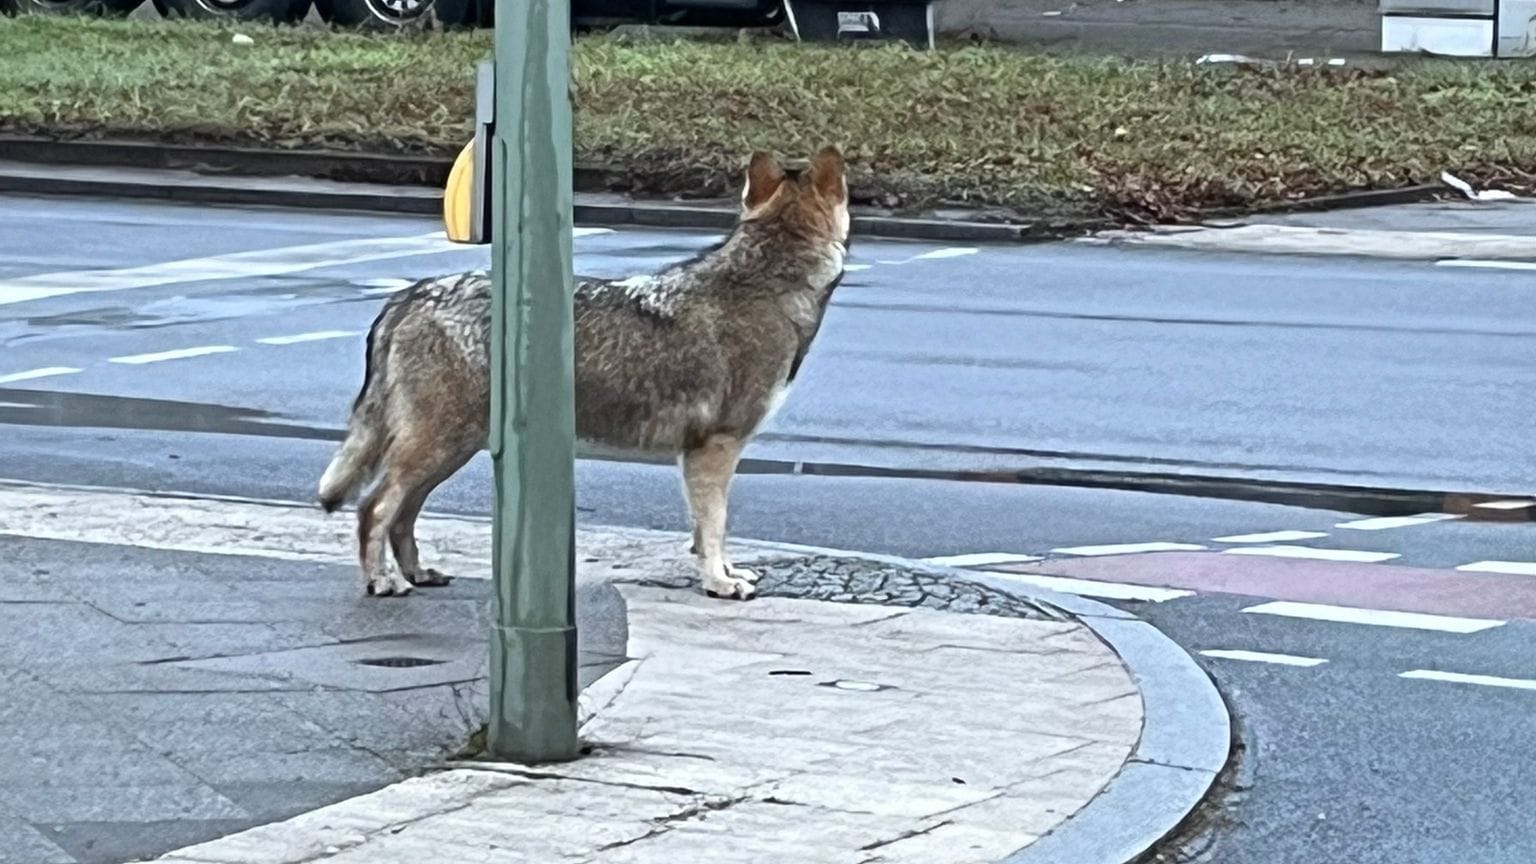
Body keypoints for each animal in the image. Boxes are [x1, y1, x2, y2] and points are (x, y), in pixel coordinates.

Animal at [316, 144, 854, 599]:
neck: (767, 283)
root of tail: (408, 295)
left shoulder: (702, 456)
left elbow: (705, 533)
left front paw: (725, 573)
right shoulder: (714, 450)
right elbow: (715, 528)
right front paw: (720, 585)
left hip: (449, 453)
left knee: (401, 518)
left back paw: (417, 574)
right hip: (435, 449)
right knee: (373, 509)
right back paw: (383, 582)